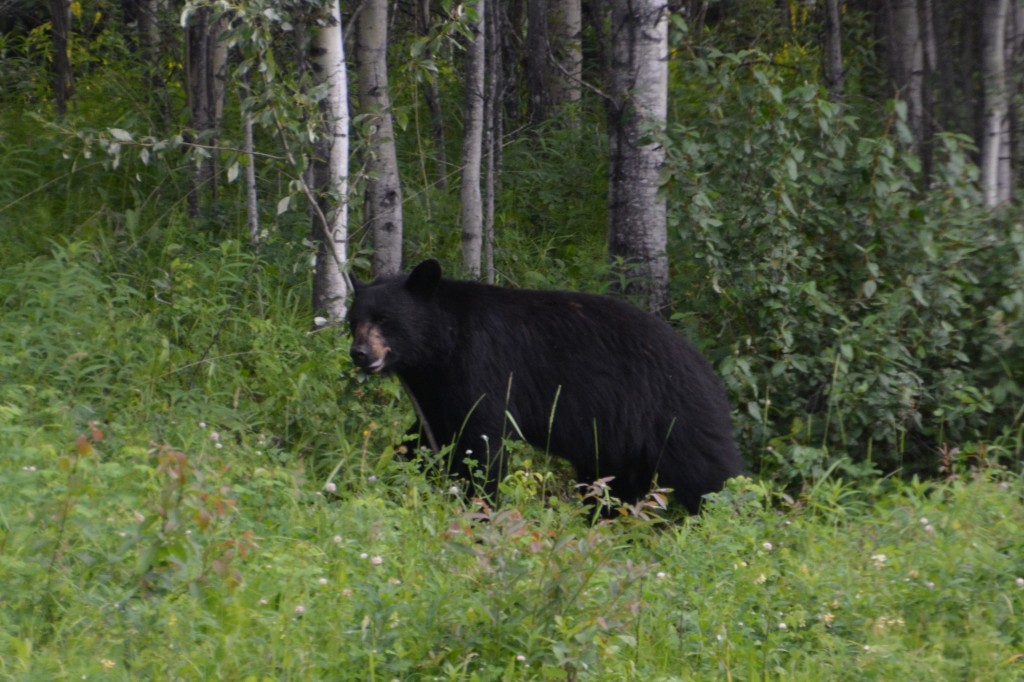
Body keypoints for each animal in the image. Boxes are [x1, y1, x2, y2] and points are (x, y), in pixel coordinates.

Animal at [348, 259, 742, 513]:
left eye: (385, 320)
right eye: (353, 321)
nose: (360, 353)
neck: (443, 345)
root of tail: (708, 372)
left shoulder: (483, 366)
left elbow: (482, 443)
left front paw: (479, 507)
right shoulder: (437, 389)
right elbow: (424, 438)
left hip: (674, 415)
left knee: (711, 475)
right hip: (618, 441)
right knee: (612, 485)